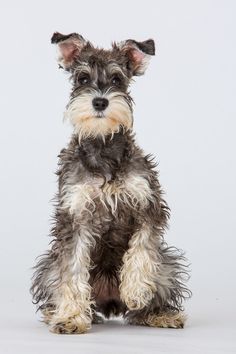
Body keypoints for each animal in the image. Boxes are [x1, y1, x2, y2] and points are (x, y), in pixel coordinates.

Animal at [30, 31, 191, 334]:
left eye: (117, 79)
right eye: (82, 79)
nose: (100, 102)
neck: (103, 145)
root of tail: (109, 303)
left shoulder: (149, 205)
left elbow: (142, 249)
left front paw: (136, 289)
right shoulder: (75, 216)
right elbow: (72, 270)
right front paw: (71, 317)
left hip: (166, 266)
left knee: (147, 297)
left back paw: (158, 314)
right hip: (48, 266)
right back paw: (61, 312)